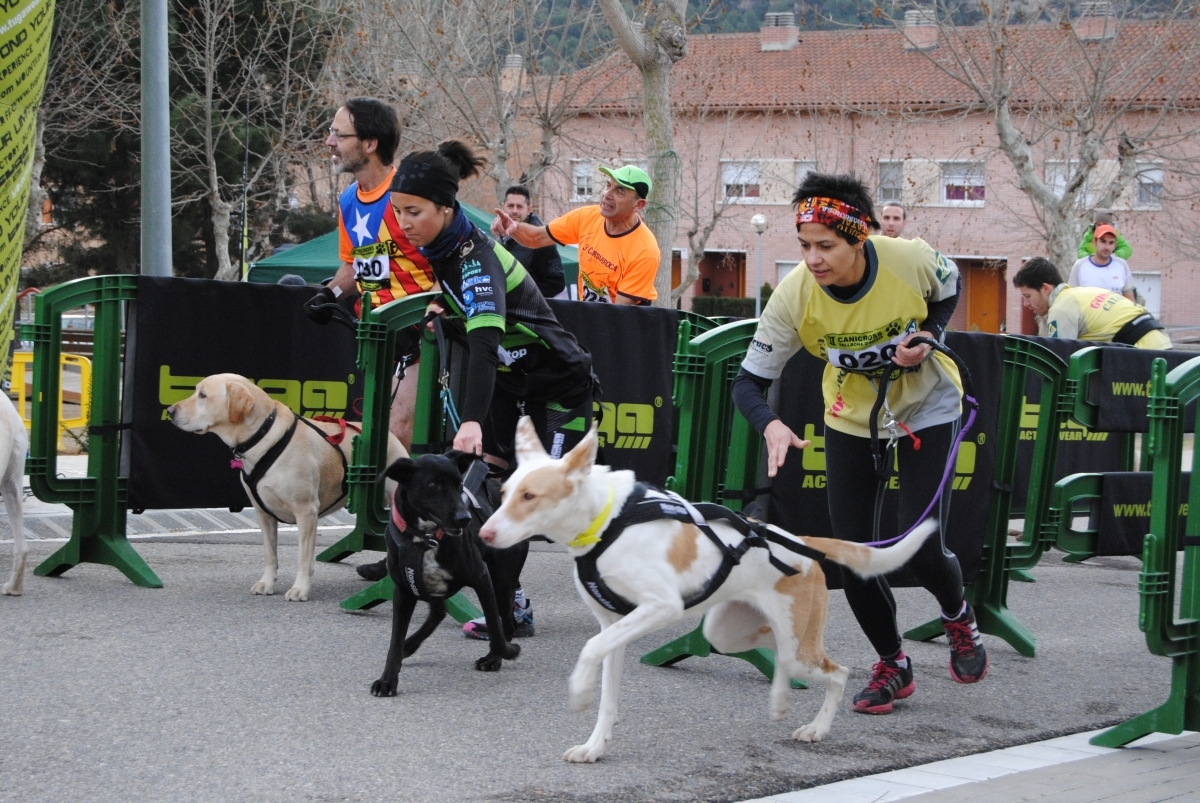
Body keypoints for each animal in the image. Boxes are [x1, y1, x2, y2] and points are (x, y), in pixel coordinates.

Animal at [168, 372, 408, 597]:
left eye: (202, 395)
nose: (170, 411)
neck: (262, 438)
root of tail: (388, 435)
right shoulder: (263, 513)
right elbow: (270, 553)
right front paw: (267, 583)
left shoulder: (306, 511)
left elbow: (303, 557)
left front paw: (300, 588)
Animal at [369, 451, 530, 696]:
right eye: (433, 485)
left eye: (459, 485)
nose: (465, 518)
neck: (425, 539)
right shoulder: (404, 590)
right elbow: (395, 642)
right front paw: (387, 680)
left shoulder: (482, 577)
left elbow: (494, 627)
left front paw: (505, 652)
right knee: (438, 613)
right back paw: (410, 644)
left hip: (502, 580)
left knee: (507, 623)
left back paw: (494, 658)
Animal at [477, 417, 936, 763]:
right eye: (505, 493)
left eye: (530, 496)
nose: (483, 534)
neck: (606, 521)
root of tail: (801, 541)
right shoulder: (614, 626)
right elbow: (607, 692)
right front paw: (594, 745)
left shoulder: (659, 606)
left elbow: (589, 650)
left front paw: (578, 692)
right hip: (728, 633)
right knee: (779, 655)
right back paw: (780, 700)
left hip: (795, 641)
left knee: (835, 672)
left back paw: (817, 727)